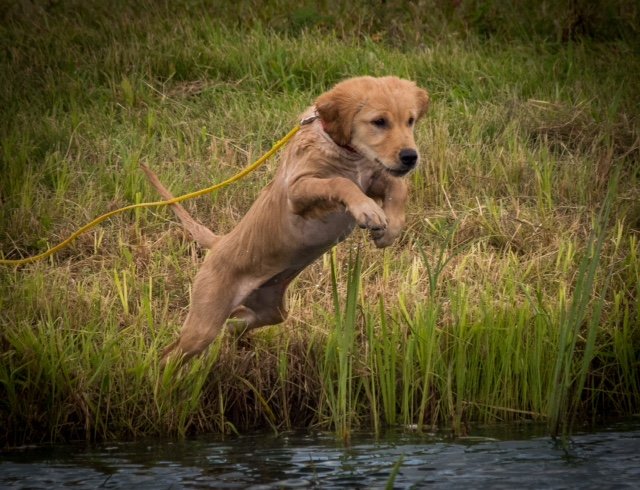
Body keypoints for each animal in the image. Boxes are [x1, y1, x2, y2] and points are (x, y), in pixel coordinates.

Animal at [142, 75, 428, 364]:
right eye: (379, 122)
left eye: (410, 121)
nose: (410, 157)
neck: (347, 152)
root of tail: (219, 242)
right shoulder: (297, 191)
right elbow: (340, 182)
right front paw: (368, 210)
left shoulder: (374, 177)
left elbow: (398, 187)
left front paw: (390, 230)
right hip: (205, 321)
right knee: (171, 353)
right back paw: (158, 374)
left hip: (271, 310)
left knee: (236, 321)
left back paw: (233, 335)